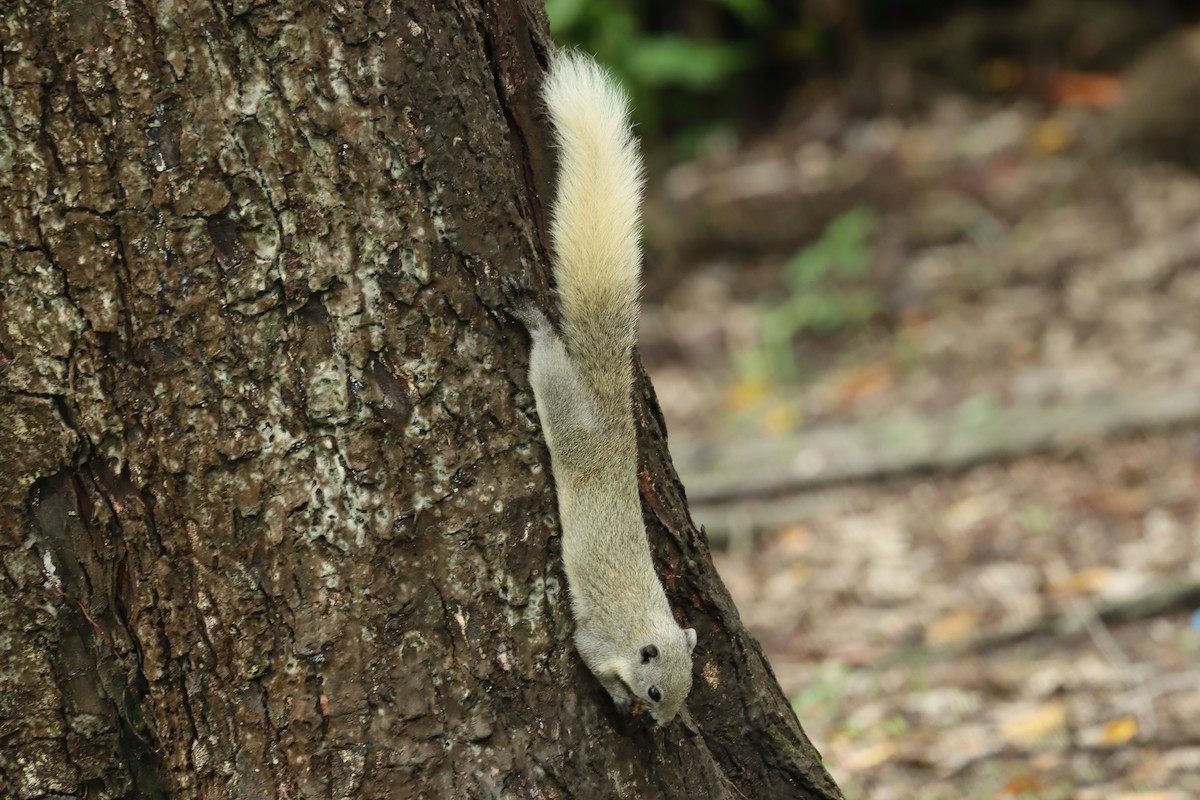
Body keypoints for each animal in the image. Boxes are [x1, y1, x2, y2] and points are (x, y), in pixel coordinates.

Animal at [504, 52, 697, 725]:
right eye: (658, 689)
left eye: (689, 691)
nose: (659, 722)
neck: (644, 624)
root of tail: (613, 423)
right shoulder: (597, 636)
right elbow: (585, 653)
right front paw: (617, 699)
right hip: (567, 415)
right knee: (549, 366)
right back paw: (534, 322)